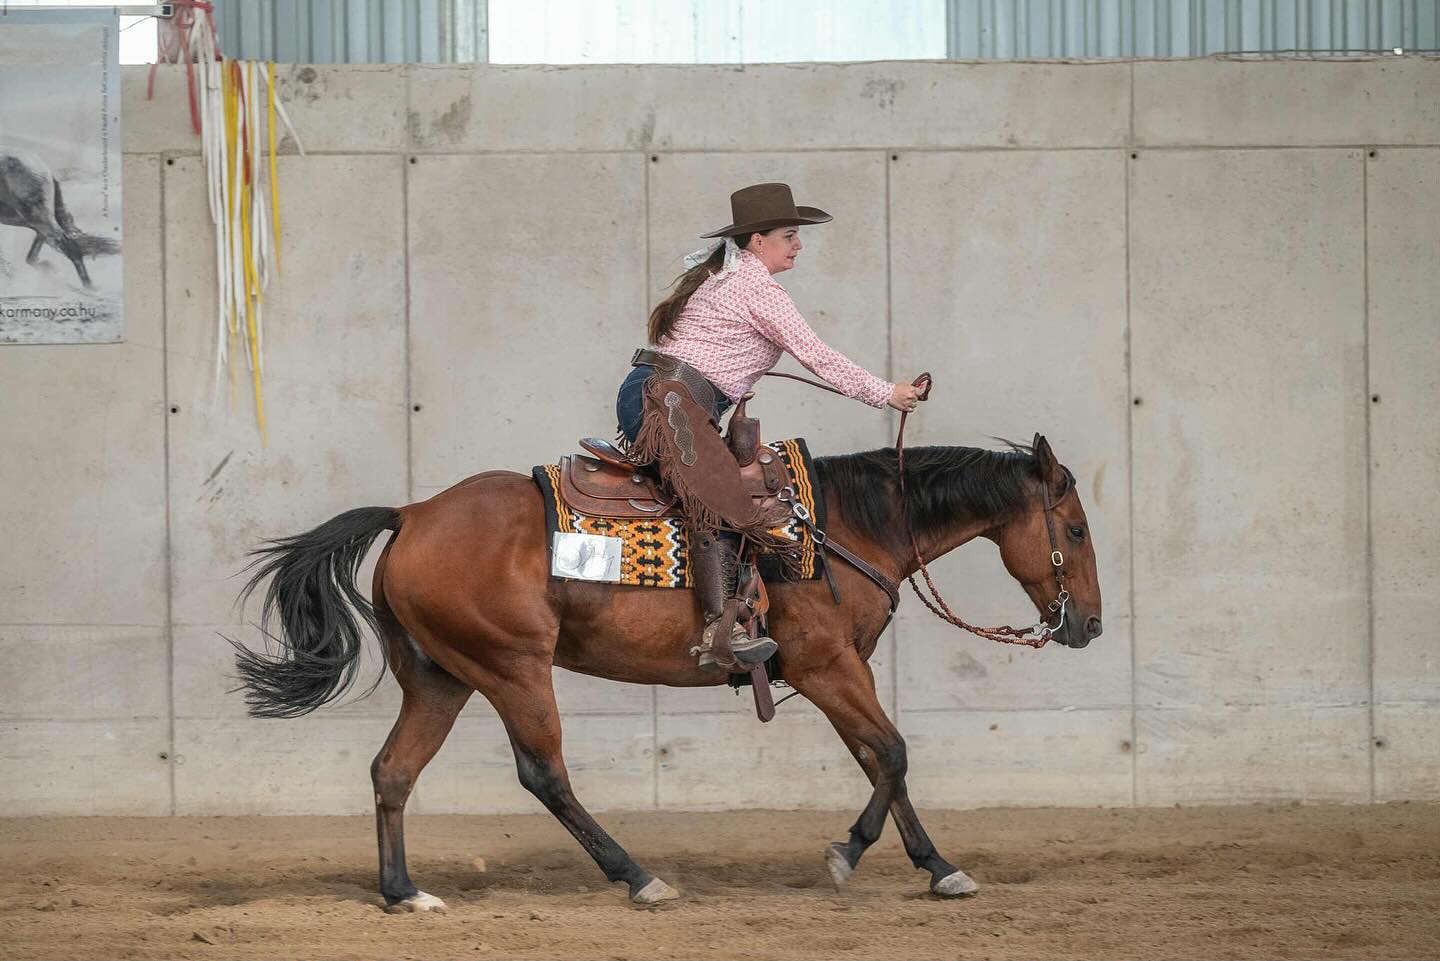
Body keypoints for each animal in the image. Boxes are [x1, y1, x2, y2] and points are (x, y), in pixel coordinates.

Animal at [0, 148, 115, 289]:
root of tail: (46, 170)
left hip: (33, 214)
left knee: (64, 241)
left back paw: (88, 286)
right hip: (21, 216)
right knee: (44, 238)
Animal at [231, 433, 1103, 911]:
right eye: (1077, 528)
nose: (1089, 624)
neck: (839, 527)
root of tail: (411, 515)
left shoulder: (841, 670)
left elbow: (879, 759)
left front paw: (939, 867)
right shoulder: (825, 663)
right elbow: (891, 753)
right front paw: (848, 853)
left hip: (442, 678)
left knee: (393, 771)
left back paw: (404, 892)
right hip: (513, 667)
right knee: (543, 773)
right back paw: (639, 875)